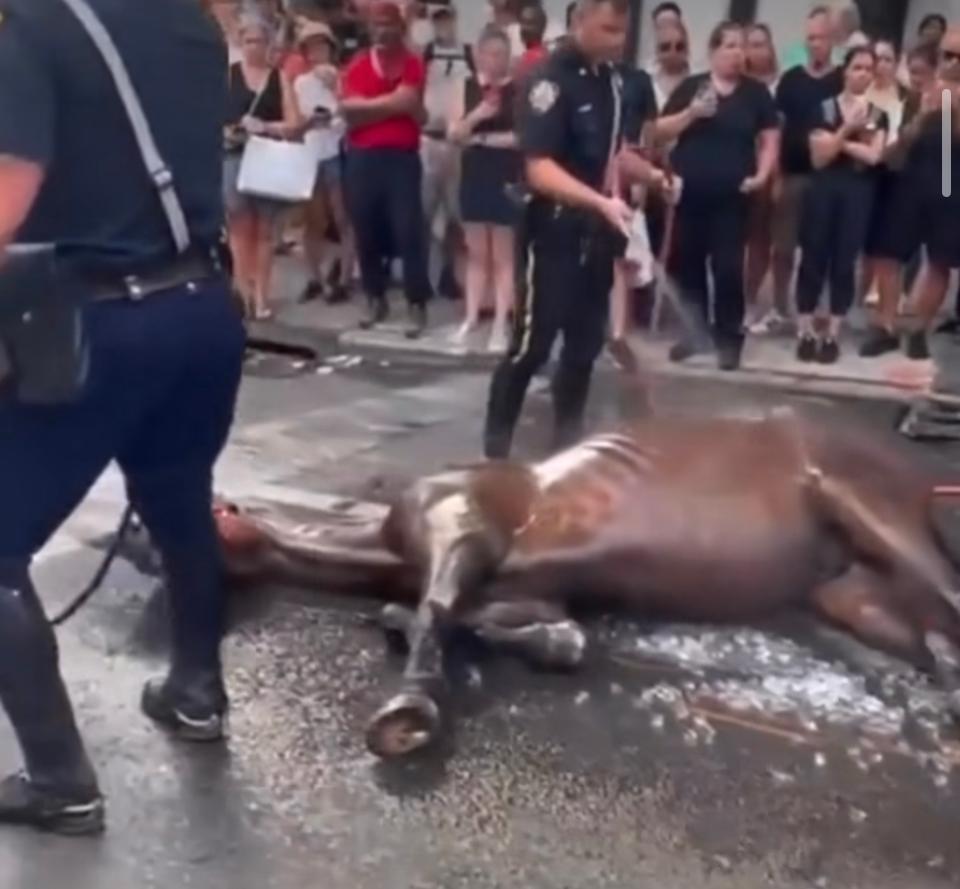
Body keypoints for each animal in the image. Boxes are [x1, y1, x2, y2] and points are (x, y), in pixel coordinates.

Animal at [216, 412, 960, 760]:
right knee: (927, 630)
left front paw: (409, 709)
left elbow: (439, 608)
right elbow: (555, 636)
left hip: (869, 504)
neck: (383, 543)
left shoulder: (459, 520)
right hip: (852, 592)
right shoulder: (526, 592)